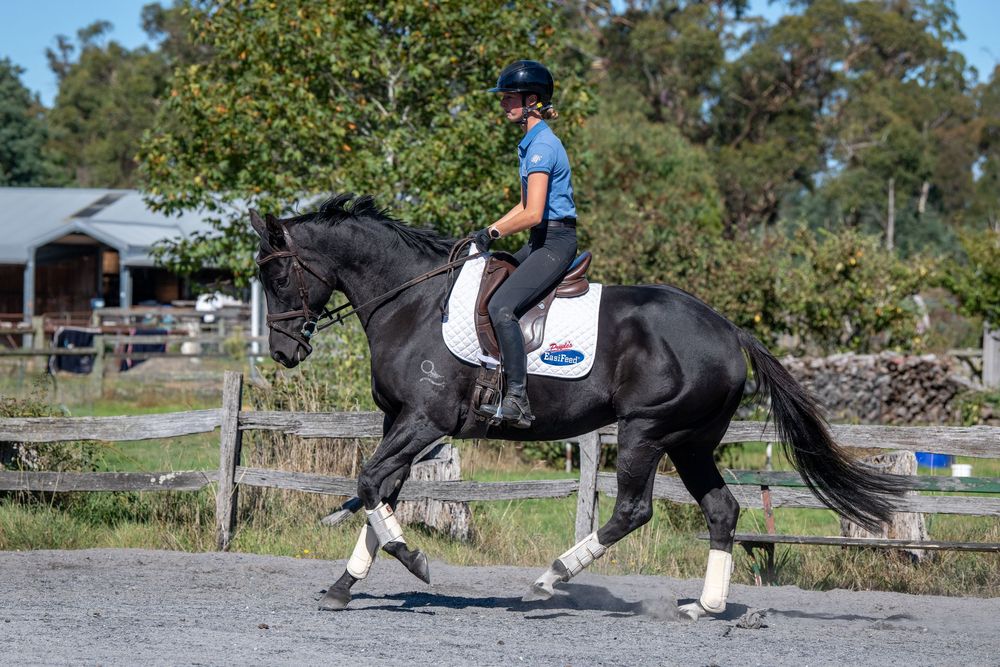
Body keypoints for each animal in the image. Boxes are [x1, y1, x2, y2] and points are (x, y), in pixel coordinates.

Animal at [250, 193, 907, 619]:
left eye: (278, 279)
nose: (283, 352)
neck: (412, 301)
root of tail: (728, 330)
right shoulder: (400, 421)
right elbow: (378, 491)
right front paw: (343, 586)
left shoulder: (423, 421)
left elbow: (368, 483)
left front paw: (413, 560)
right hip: (691, 442)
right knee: (721, 510)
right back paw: (704, 606)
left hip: (646, 431)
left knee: (633, 511)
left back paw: (548, 580)